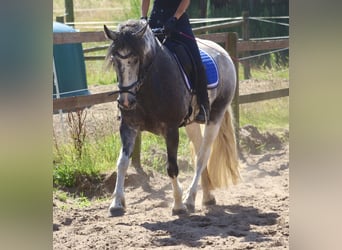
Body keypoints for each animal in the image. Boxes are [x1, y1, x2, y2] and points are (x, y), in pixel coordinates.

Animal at [104, 19, 240, 216]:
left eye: (137, 59)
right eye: (115, 60)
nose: (126, 101)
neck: (151, 83)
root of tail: (223, 53)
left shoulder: (171, 129)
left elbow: (172, 167)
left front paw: (178, 204)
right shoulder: (129, 126)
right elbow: (122, 163)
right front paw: (116, 204)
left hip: (216, 115)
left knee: (203, 155)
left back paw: (190, 199)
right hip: (191, 123)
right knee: (199, 151)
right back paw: (206, 196)